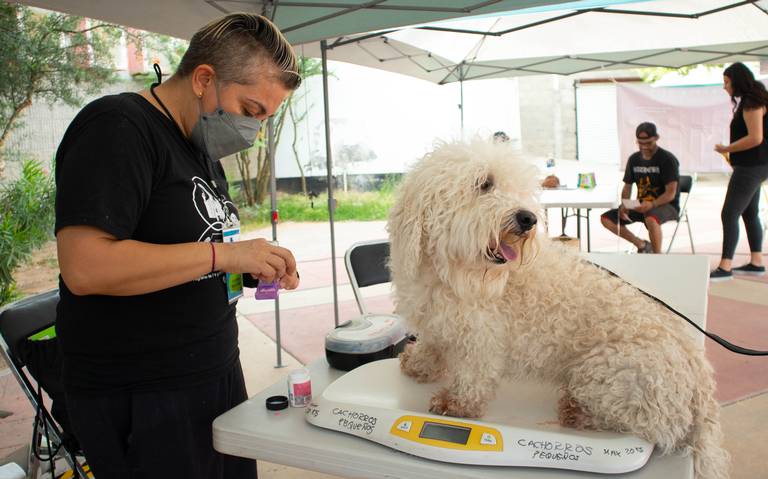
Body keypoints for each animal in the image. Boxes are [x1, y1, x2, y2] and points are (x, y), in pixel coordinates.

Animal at [388, 140, 728, 479]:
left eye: (521, 189)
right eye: (484, 184)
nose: (528, 219)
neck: (448, 273)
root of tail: (699, 378)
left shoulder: (480, 339)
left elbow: (473, 375)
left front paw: (456, 404)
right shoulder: (435, 321)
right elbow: (431, 345)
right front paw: (417, 364)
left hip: (606, 372)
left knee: (652, 425)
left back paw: (577, 412)